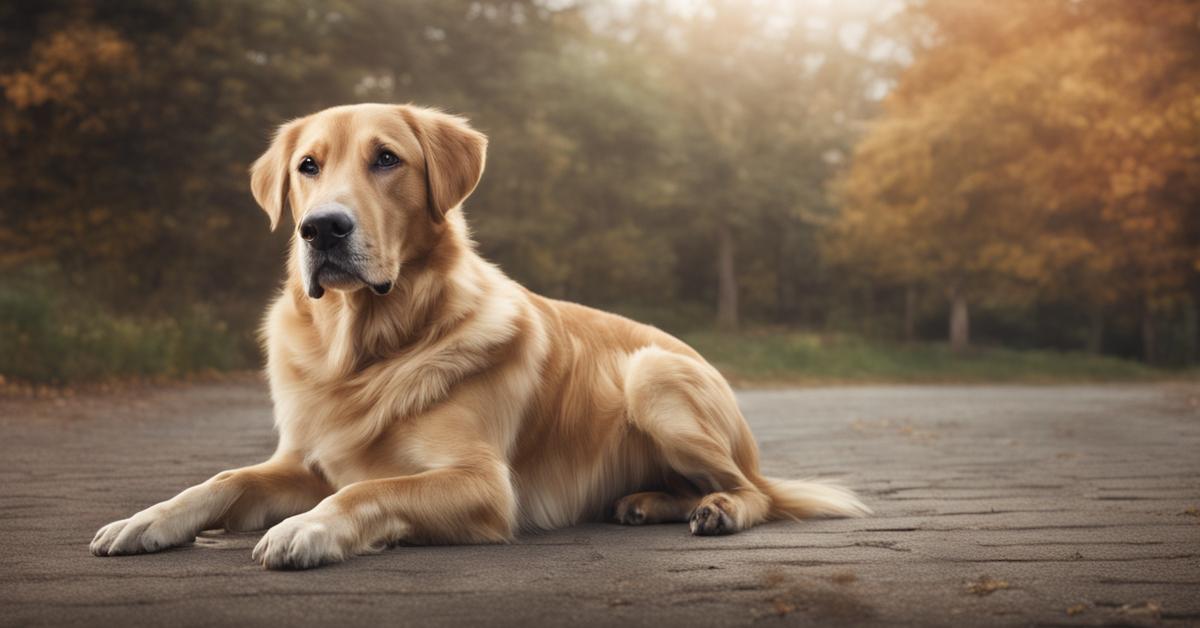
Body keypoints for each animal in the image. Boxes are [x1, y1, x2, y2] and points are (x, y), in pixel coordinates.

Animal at [88, 104, 868, 569]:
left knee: (755, 492)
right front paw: (145, 520)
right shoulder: (305, 460)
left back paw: (717, 510)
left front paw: (305, 528)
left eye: (387, 159)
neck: (370, 349)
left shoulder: (482, 482)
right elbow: (224, 479)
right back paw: (645, 502)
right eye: (307, 166)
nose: (322, 229)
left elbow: (368, 491)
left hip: (653, 376)